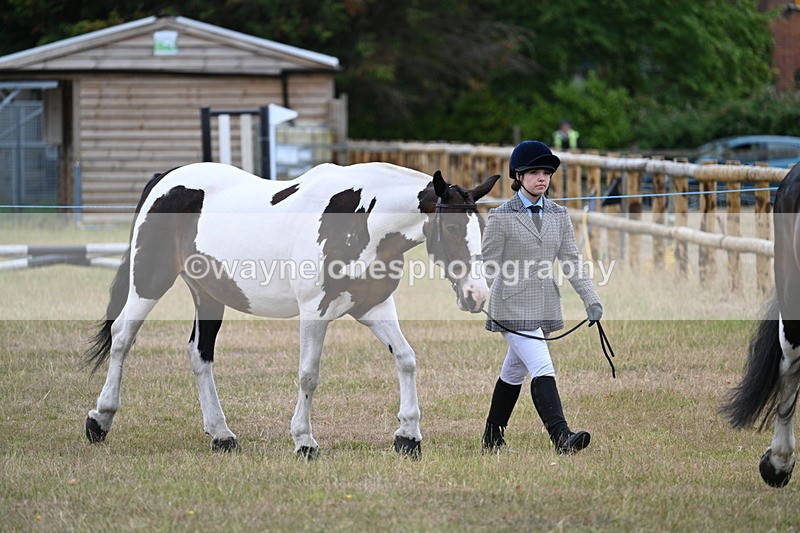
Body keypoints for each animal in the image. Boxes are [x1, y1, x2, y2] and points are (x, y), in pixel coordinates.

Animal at [84, 161, 500, 459]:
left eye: (481, 227)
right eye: (450, 229)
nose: (476, 295)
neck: (361, 218)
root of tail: (165, 179)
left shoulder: (373, 306)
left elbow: (407, 358)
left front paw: (408, 436)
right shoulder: (314, 311)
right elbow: (308, 375)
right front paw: (304, 441)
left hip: (208, 294)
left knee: (199, 355)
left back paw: (221, 435)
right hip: (150, 281)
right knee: (122, 338)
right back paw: (99, 420)